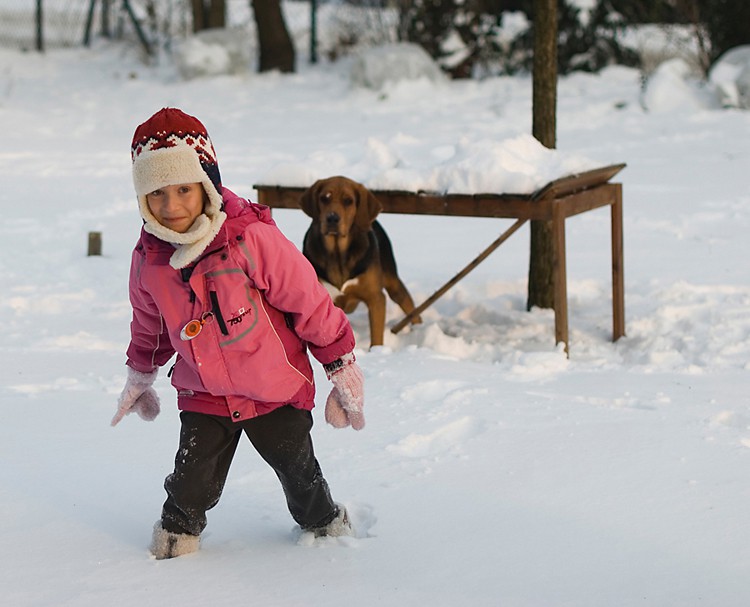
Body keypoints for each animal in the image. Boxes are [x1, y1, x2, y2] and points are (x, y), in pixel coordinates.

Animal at [302, 176, 426, 346]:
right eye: (324, 198)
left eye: (348, 201)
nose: (332, 218)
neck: (337, 252)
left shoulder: (376, 298)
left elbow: (376, 337)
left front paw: (376, 350)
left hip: (392, 281)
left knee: (409, 306)